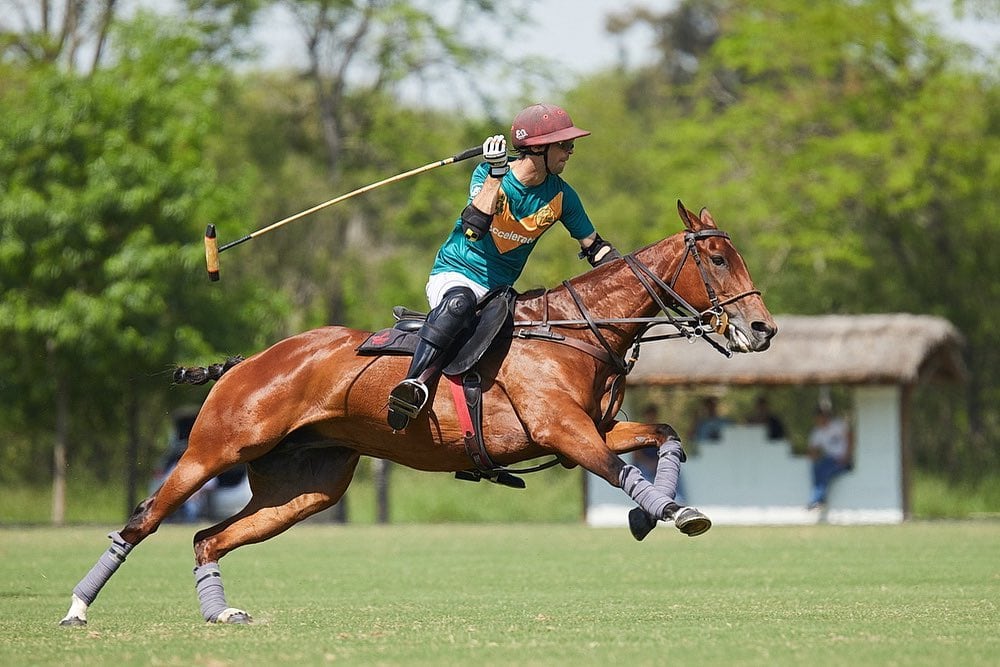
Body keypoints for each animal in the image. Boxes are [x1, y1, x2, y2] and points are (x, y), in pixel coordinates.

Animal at [60, 202, 780, 628]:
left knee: (207, 537)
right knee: (141, 520)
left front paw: (649, 513)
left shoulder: (594, 426)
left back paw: (218, 613)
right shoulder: (564, 430)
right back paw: (76, 609)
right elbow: (619, 468)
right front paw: (674, 513)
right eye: (718, 257)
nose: (763, 329)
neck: (576, 331)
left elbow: (665, 435)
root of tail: (248, 360)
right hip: (215, 448)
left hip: (305, 487)